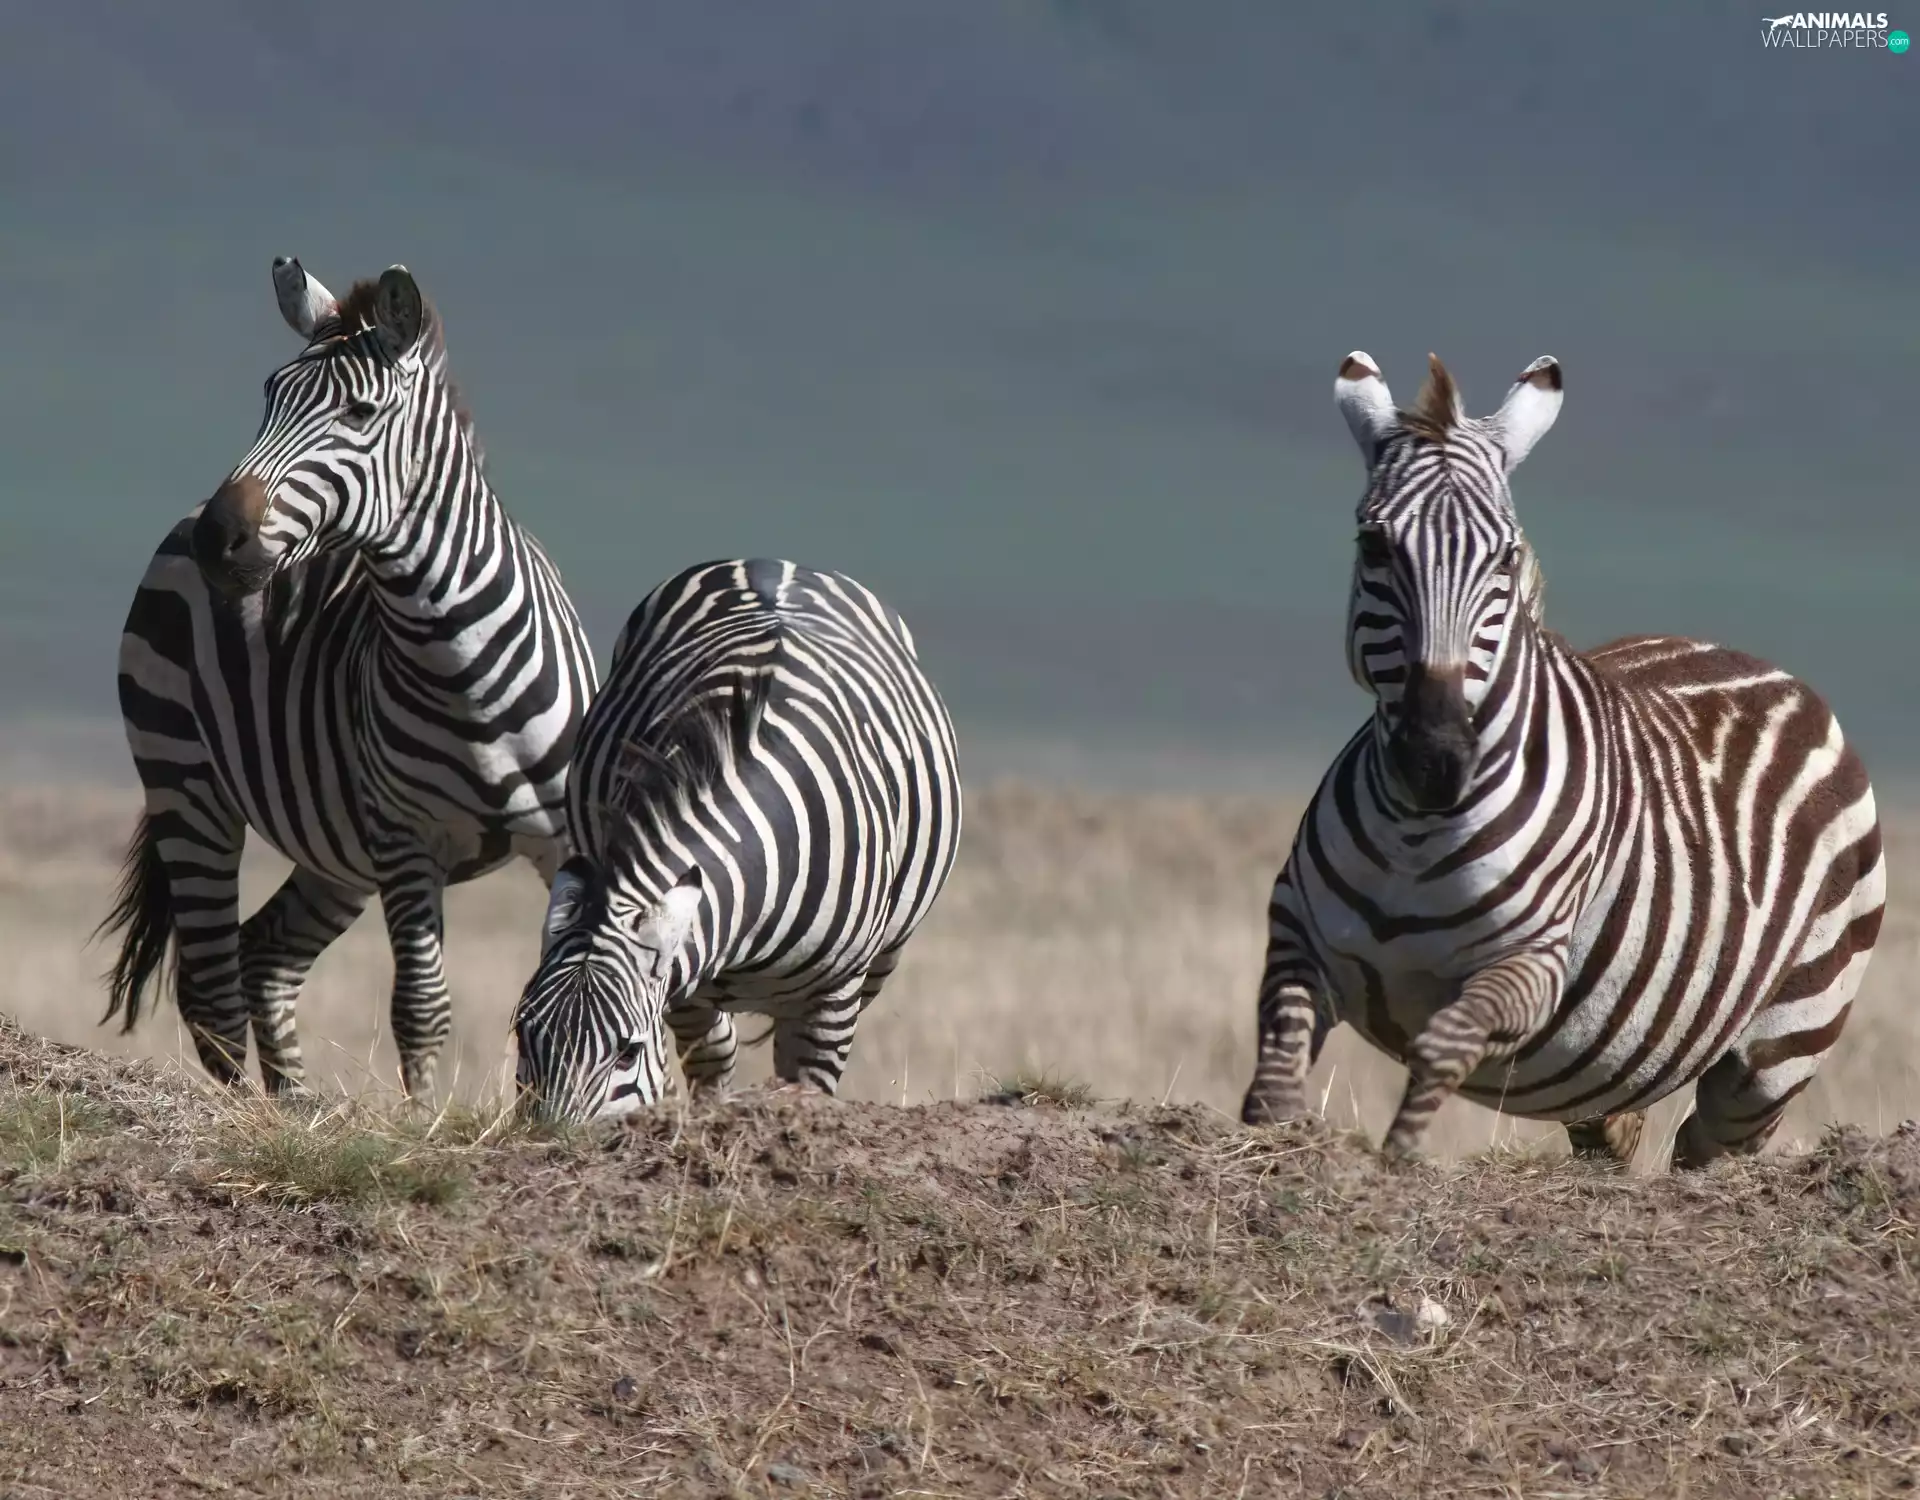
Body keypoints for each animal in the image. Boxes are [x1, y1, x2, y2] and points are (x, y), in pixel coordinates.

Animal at [98, 257, 598, 1100]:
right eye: (269, 396)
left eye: (360, 412)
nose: (220, 539)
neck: (452, 651)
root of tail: (185, 516)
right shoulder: (405, 839)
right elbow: (423, 1009)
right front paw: (426, 1121)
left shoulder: (566, 837)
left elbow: (571, 989)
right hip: (187, 789)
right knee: (213, 985)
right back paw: (256, 1115)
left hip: (336, 849)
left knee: (264, 956)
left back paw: (296, 1106)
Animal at [511, 558, 962, 1124]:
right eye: (523, 1033)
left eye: (627, 1051)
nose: (554, 1135)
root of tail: (775, 562)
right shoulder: (684, 985)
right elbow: (712, 1060)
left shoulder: (834, 996)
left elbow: (808, 1080)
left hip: (881, 959)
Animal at [1239, 350, 1885, 1170]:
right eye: (1373, 546)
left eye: (1506, 555)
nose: (1434, 759)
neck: (1413, 834)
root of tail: (1763, 665)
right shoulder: (1294, 932)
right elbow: (1276, 1066)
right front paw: (1274, 1149)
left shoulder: (1530, 968)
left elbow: (1442, 1046)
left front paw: (1397, 1164)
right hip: (1611, 1068)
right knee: (1618, 1121)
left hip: (1778, 1050)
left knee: (1709, 1145)